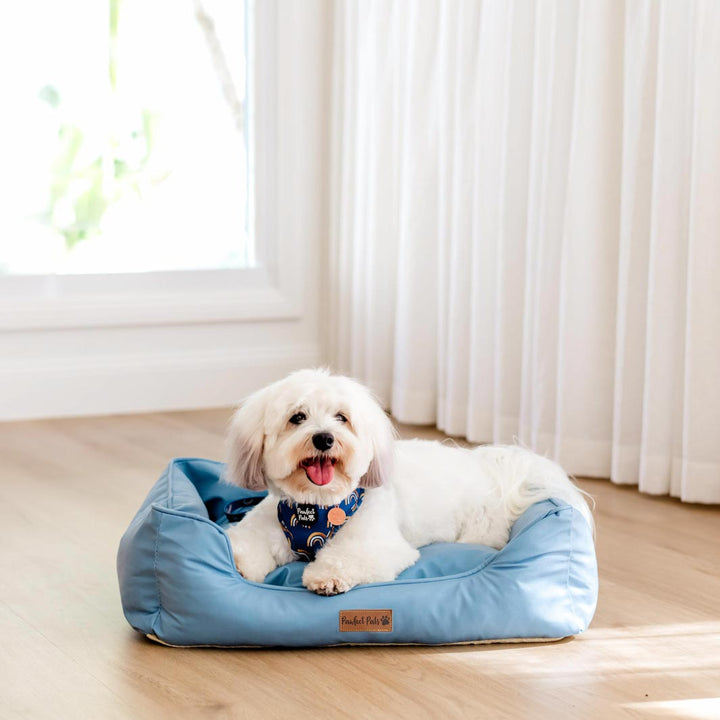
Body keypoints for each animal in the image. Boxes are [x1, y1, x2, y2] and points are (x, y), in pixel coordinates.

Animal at [224, 368, 592, 592]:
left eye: (342, 418)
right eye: (297, 417)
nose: (325, 438)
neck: (316, 509)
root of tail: (489, 467)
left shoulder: (376, 543)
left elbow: (349, 557)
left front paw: (326, 576)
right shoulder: (267, 524)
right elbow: (245, 543)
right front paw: (237, 564)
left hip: (479, 529)